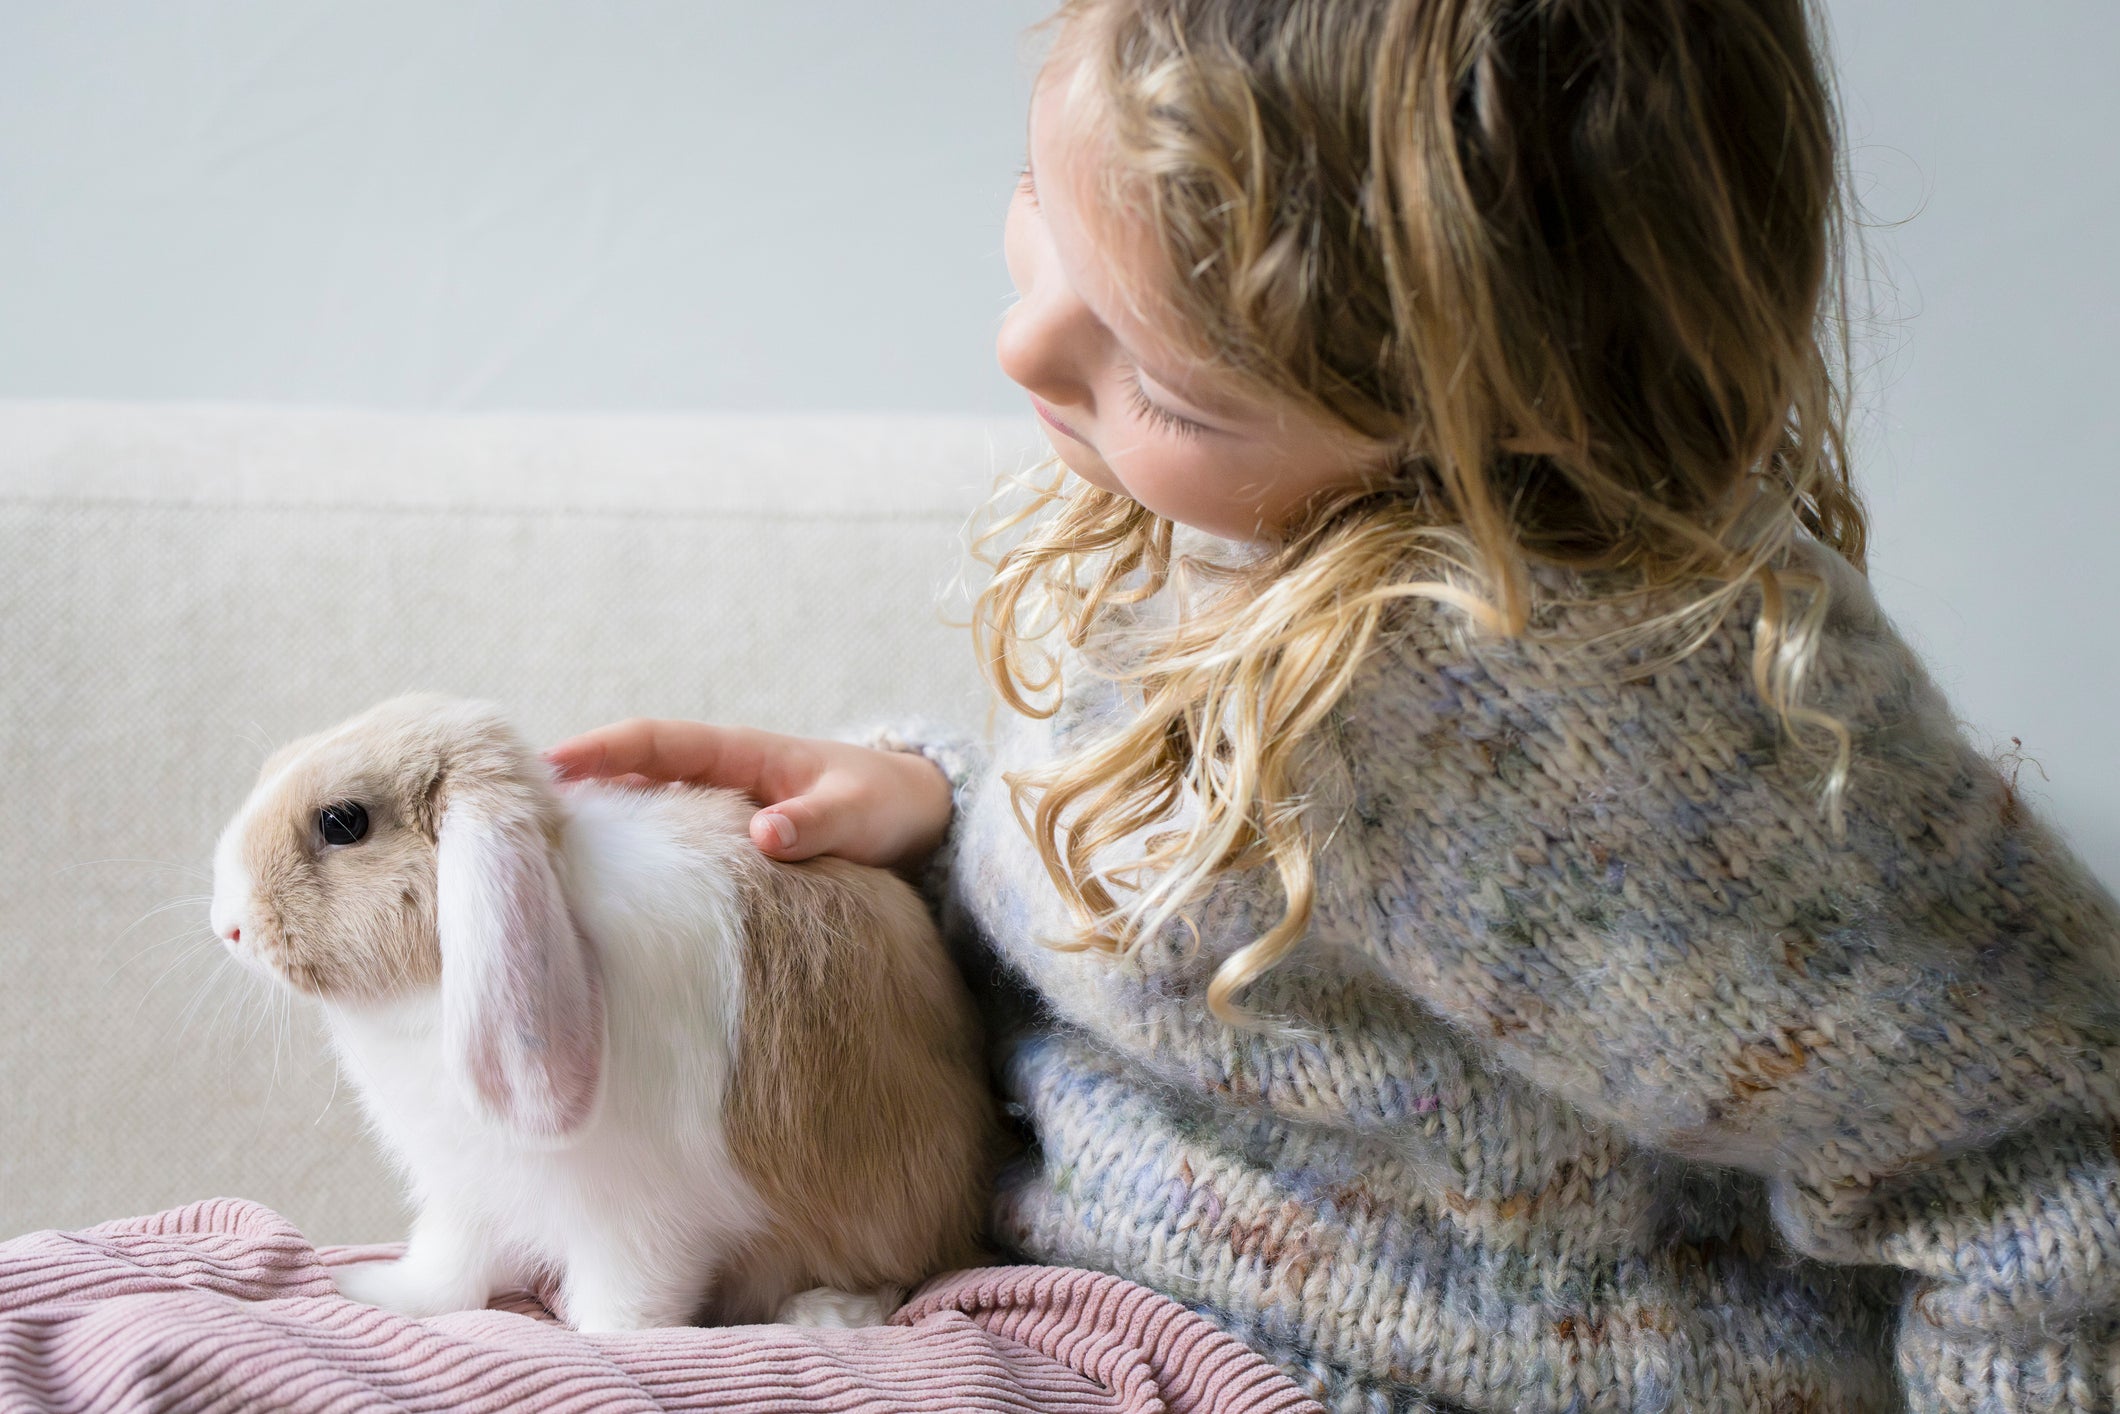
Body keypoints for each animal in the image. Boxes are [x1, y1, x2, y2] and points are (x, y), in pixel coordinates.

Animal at [210, 691, 1004, 1331]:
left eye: (342, 822)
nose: (228, 925)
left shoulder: (644, 1225)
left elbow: (623, 1314)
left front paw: (601, 1340)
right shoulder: (467, 1194)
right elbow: (447, 1273)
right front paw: (374, 1290)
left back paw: (825, 1311)